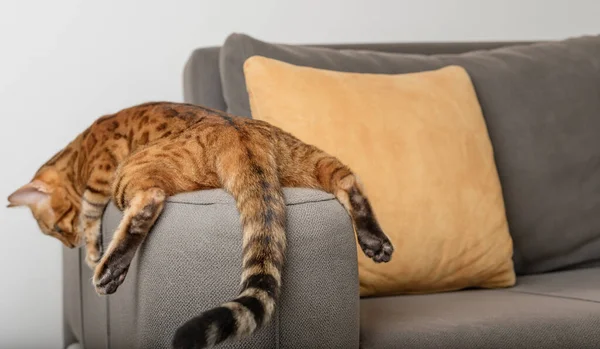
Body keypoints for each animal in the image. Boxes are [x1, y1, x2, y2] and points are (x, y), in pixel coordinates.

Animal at [9, 101, 396, 348]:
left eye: (57, 229)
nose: (69, 245)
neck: (77, 153)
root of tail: (237, 130)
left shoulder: (100, 178)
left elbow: (91, 216)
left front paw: (90, 253)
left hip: (129, 171)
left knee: (148, 200)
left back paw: (110, 269)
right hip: (313, 159)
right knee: (349, 182)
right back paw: (376, 242)